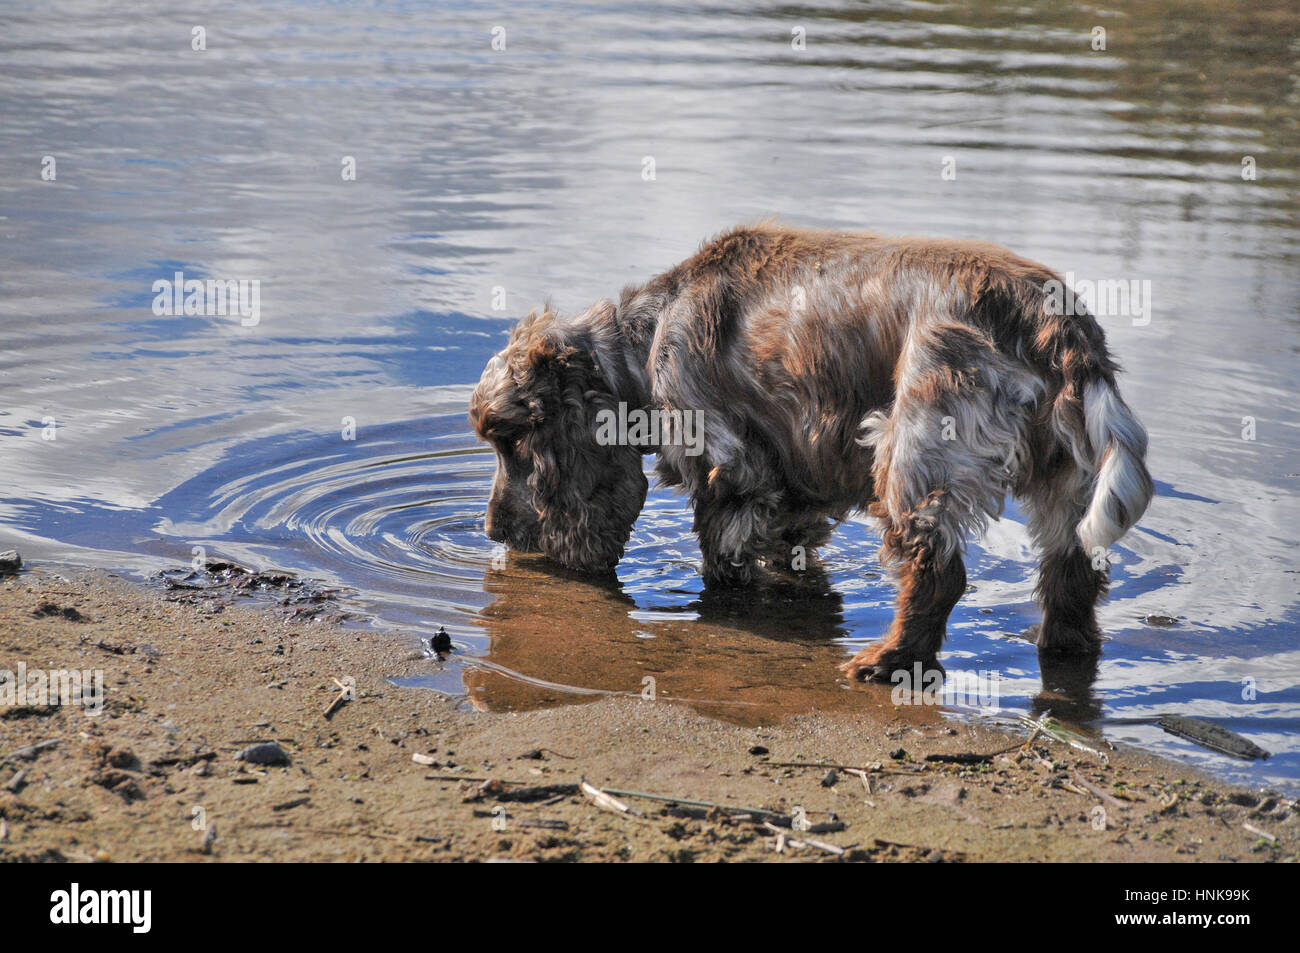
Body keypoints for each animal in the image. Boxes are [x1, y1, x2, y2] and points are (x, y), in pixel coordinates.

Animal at [470, 226, 1159, 681]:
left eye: (511, 440)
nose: (492, 530)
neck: (649, 333)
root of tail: (1056, 324)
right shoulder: (796, 490)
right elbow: (790, 549)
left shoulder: (732, 470)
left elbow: (723, 555)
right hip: (1064, 477)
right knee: (1072, 573)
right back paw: (1058, 647)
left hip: (913, 451)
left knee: (938, 573)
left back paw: (886, 661)